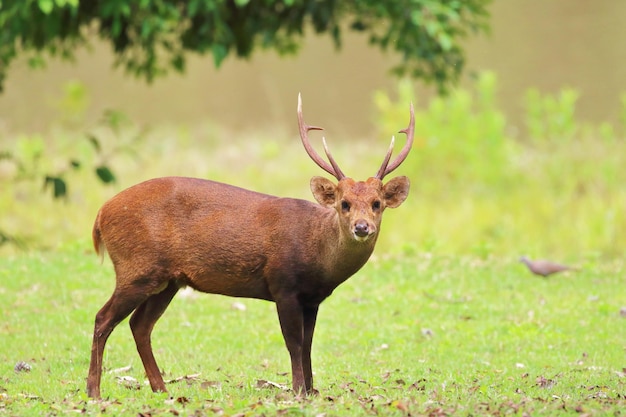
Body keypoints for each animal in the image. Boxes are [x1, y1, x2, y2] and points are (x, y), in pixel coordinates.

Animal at [85, 93, 412, 396]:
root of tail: (100, 215)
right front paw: (297, 390)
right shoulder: (283, 285)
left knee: (140, 325)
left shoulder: (313, 298)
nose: (362, 227)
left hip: (167, 280)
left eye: (377, 203)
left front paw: (311, 390)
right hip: (136, 267)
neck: (317, 254)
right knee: (103, 318)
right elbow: (294, 343)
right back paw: (94, 391)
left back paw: (161, 389)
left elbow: (308, 344)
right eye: (344, 204)